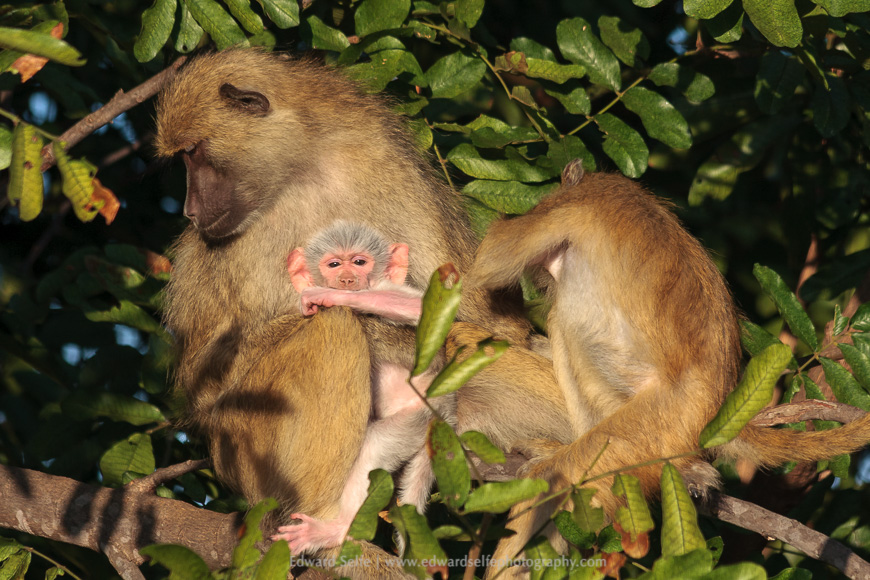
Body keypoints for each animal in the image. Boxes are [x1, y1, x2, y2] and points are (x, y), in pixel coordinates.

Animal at [274, 220, 454, 553]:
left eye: (359, 262)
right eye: (334, 264)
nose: (346, 279)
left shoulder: (382, 285)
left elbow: (422, 307)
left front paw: (327, 295)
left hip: (421, 414)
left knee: (372, 448)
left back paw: (340, 530)